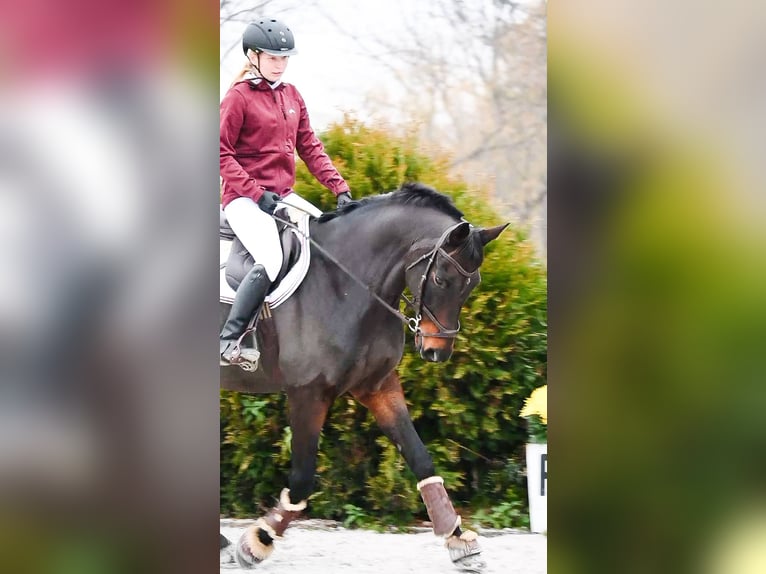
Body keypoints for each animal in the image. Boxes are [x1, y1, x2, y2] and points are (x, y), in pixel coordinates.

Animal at [220, 182, 508, 570]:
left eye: (472, 284)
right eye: (440, 278)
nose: (437, 351)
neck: (347, 283)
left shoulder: (378, 386)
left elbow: (421, 459)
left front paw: (459, 540)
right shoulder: (308, 393)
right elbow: (302, 480)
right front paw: (256, 541)